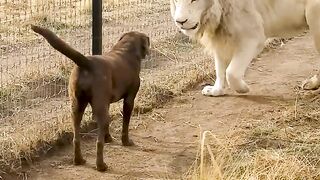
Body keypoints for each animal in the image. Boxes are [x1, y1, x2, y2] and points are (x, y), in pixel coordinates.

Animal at [31, 24, 150, 171]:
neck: (125, 50)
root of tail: (87, 63)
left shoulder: (106, 103)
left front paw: (108, 138)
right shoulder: (129, 99)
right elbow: (125, 124)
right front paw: (126, 141)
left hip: (77, 106)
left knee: (76, 138)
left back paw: (79, 160)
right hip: (98, 107)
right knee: (98, 142)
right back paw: (101, 166)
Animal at [170, 0, 320, 96]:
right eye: (176, 0)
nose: (180, 22)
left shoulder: (252, 37)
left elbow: (231, 73)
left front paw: (243, 89)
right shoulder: (220, 37)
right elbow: (220, 69)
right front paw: (216, 91)